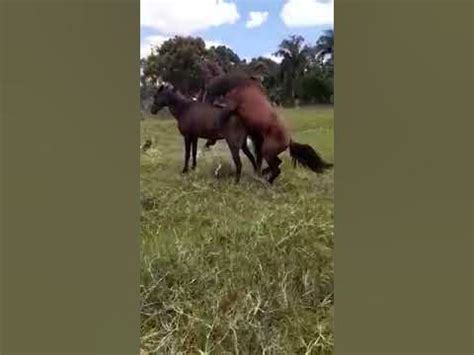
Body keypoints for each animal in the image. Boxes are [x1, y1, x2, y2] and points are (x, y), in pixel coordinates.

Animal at [205, 72, 334, 184]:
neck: (244, 85)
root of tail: (289, 140)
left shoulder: (230, 105)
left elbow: (221, 117)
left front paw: (210, 140)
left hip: (267, 151)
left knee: (276, 168)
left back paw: (268, 180)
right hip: (268, 151)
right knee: (277, 163)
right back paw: (264, 173)